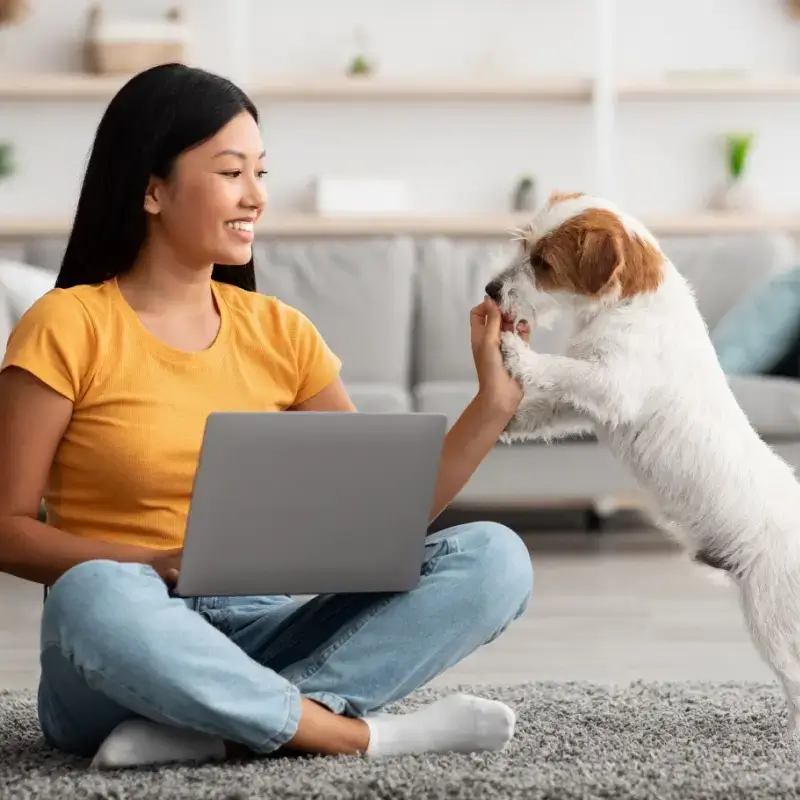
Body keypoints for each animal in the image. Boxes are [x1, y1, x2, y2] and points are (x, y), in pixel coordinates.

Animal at [488, 191, 800, 740]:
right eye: (523, 245)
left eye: (543, 263)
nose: (489, 290)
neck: (628, 303)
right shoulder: (586, 405)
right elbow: (549, 405)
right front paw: (511, 418)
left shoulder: (611, 384)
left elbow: (558, 368)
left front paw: (516, 353)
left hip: (773, 619)